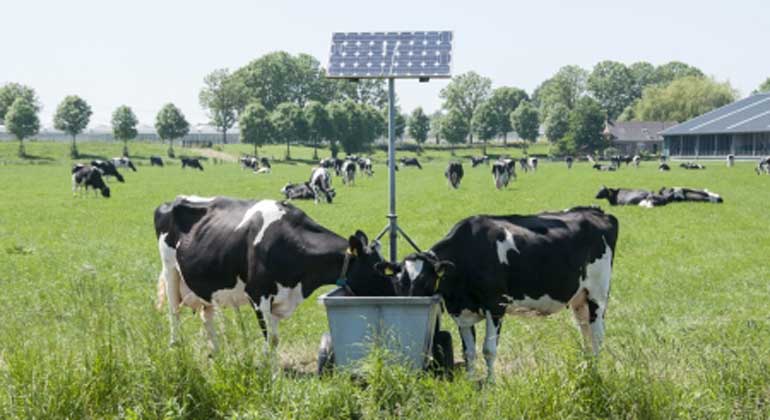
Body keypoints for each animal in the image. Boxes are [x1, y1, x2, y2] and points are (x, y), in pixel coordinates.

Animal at [156, 195, 396, 352]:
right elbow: (271, 341)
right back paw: (175, 347)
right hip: (170, 270)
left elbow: (275, 339)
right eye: (378, 267)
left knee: (207, 316)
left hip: (204, 284)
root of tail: (172, 201)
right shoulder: (257, 294)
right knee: (173, 311)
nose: (395, 292)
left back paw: (215, 352)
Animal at [380, 208, 620, 382]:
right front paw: (470, 382)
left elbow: (488, 350)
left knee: (597, 335)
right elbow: (469, 352)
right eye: (399, 282)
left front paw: (491, 384)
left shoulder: (496, 306)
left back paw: (596, 373)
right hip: (579, 299)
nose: (410, 304)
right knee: (586, 334)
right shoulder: (461, 312)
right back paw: (587, 368)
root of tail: (597, 212)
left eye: (426, 281)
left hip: (597, 294)